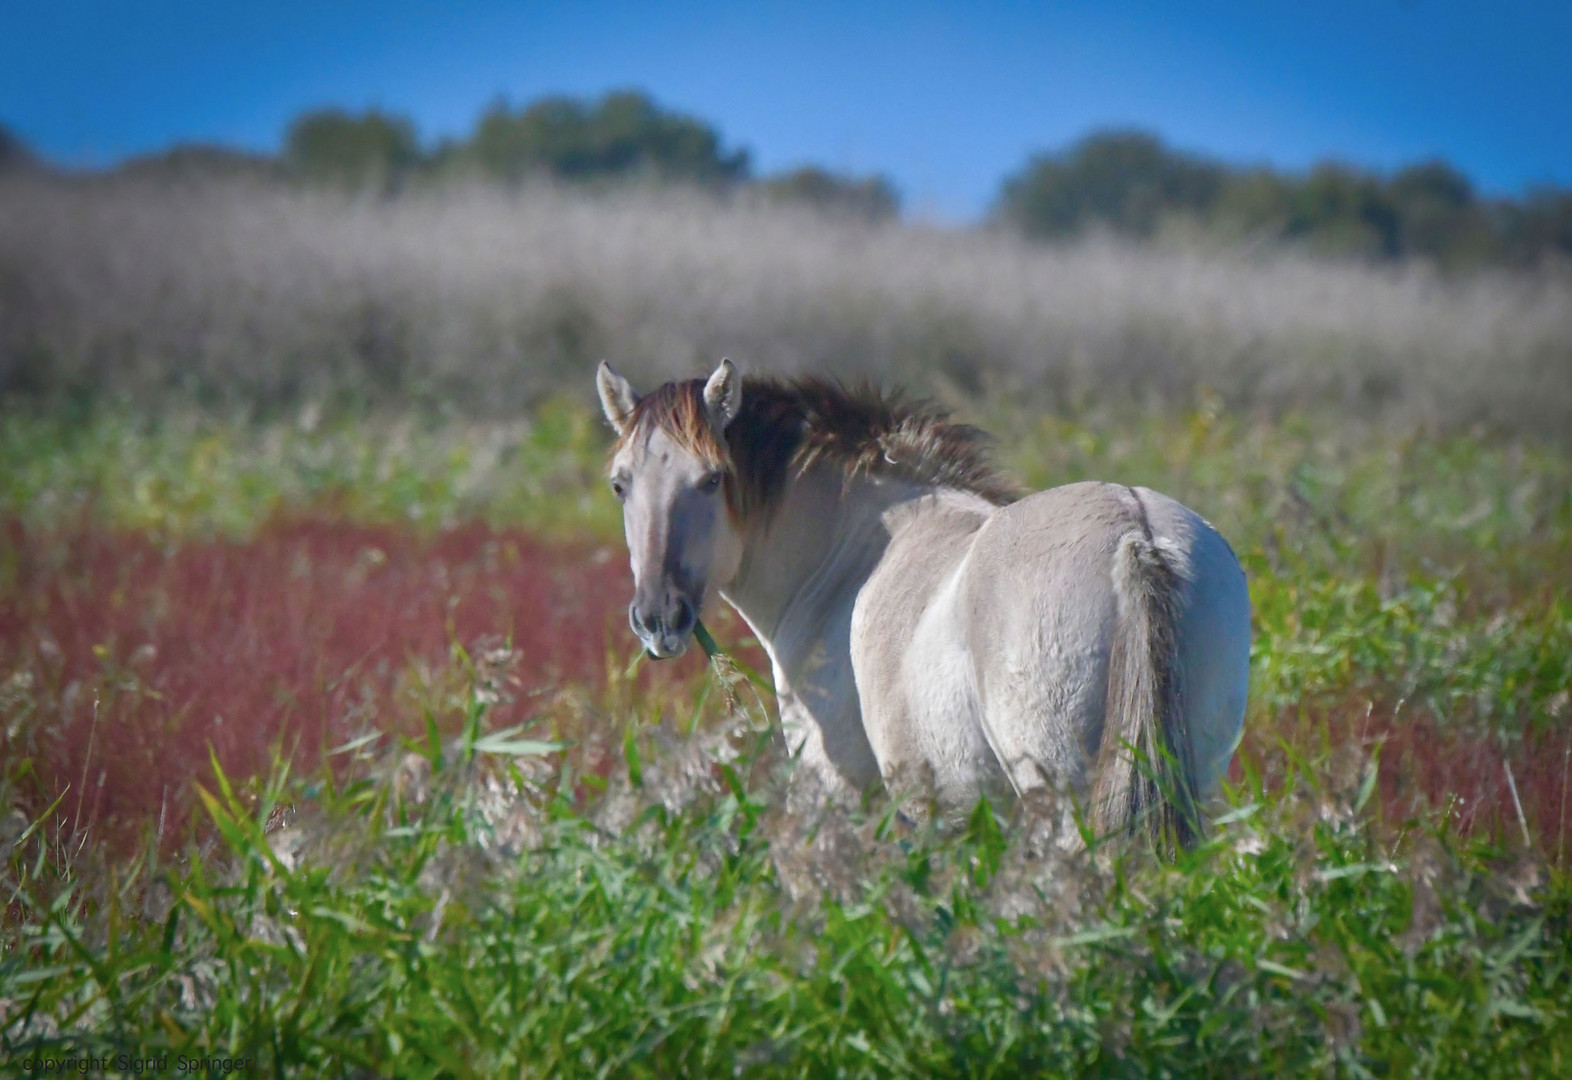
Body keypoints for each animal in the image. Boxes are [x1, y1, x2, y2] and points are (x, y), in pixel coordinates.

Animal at [594, 356, 1245, 842]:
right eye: (620, 485)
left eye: (711, 480)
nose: (658, 619)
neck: (848, 556)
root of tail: (1135, 529)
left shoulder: (846, 792)